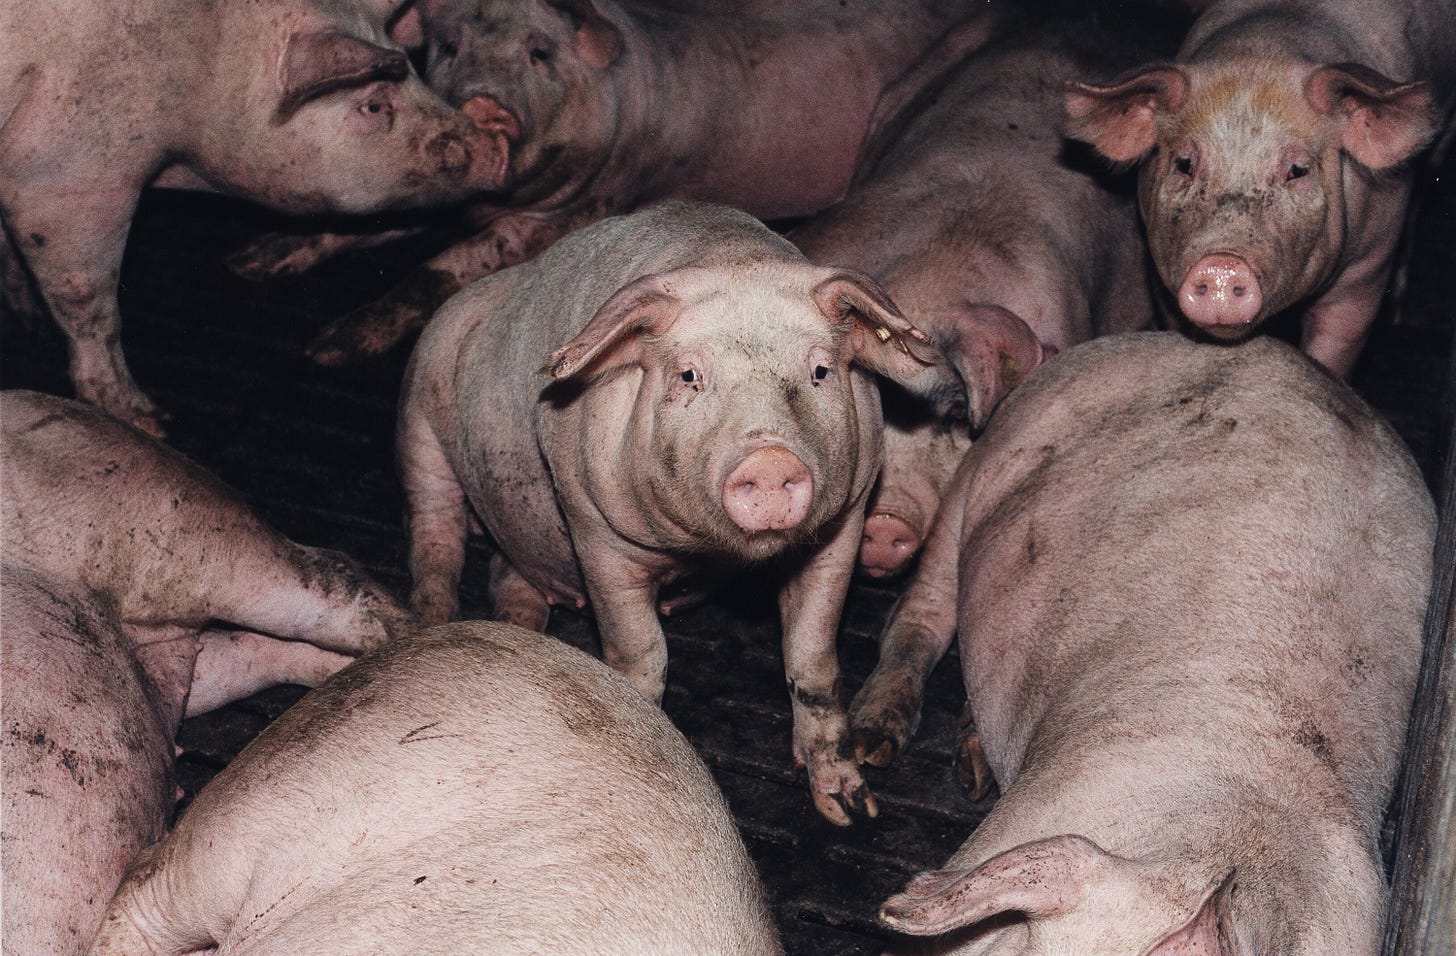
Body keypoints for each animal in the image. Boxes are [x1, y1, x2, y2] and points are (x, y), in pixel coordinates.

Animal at [0, 0, 516, 436]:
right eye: (373, 104)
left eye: (414, 72)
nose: (498, 146)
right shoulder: (66, 174)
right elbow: (91, 305)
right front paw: (153, 423)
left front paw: (28, 319)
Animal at [229, 0, 1001, 365]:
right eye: (448, 47)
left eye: (540, 53)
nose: (485, 106)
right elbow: (372, 221)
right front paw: (253, 261)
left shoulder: (571, 211)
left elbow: (439, 267)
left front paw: (327, 348)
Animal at [398, 200, 955, 825]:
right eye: (689, 375)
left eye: (820, 371)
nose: (768, 457)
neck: (705, 553)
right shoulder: (595, 530)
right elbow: (642, 656)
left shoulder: (846, 523)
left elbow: (813, 660)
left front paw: (850, 811)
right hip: (417, 419)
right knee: (435, 536)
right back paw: (428, 622)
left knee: (509, 569)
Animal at [1063, 0, 1456, 378]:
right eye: (1184, 164)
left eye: (1298, 170)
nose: (1221, 266)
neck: (1265, 49)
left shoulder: (1368, 266)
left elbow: (1338, 340)